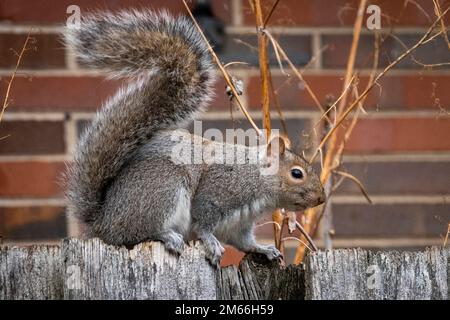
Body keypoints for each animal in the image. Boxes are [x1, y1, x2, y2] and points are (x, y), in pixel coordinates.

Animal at [64, 9, 324, 268]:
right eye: (297, 174)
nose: (321, 198)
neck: (256, 177)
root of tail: (103, 222)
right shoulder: (217, 191)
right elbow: (203, 223)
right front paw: (211, 243)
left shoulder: (239, 224)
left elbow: (244, 242)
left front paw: (264, 248)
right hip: (162, 188)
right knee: (137, 232)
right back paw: (167, 235)